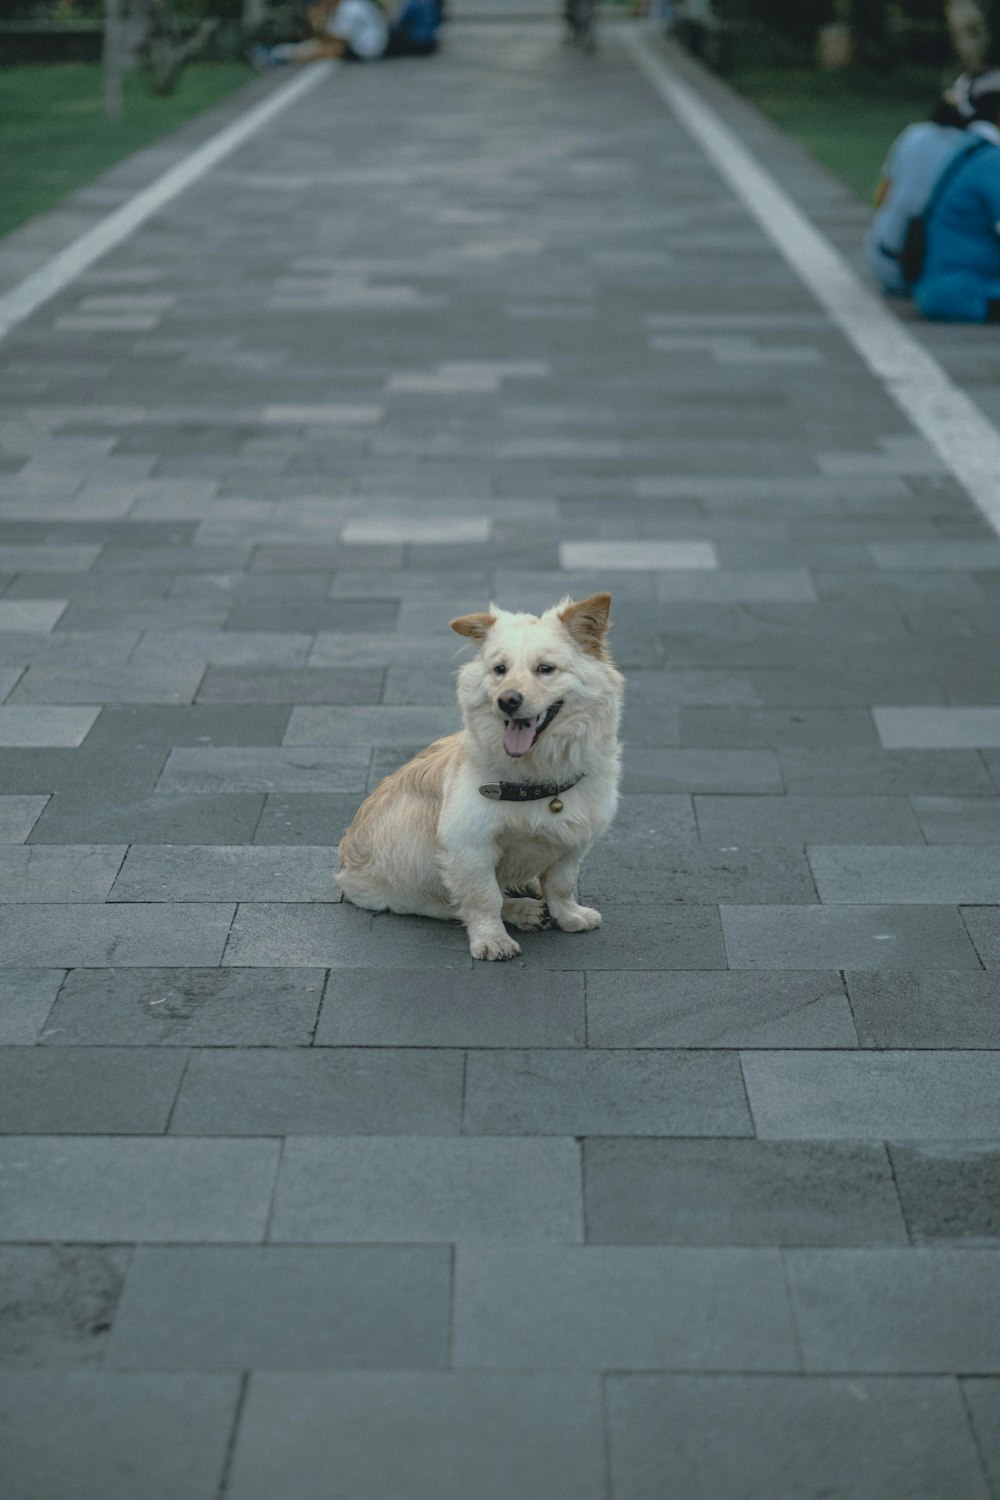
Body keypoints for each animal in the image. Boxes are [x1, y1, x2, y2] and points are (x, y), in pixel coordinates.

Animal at [340, 588, 629, 954]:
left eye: (545, 669)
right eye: (499, 669)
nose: (507, 700)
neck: (539, 776)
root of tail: (344, 869)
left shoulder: (574, 841)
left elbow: (561, 883)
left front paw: (569, 916)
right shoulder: (468, 846)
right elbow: (484, 897)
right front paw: (493, 940)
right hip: (413, 886)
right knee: (454, 905)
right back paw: (524, 910)